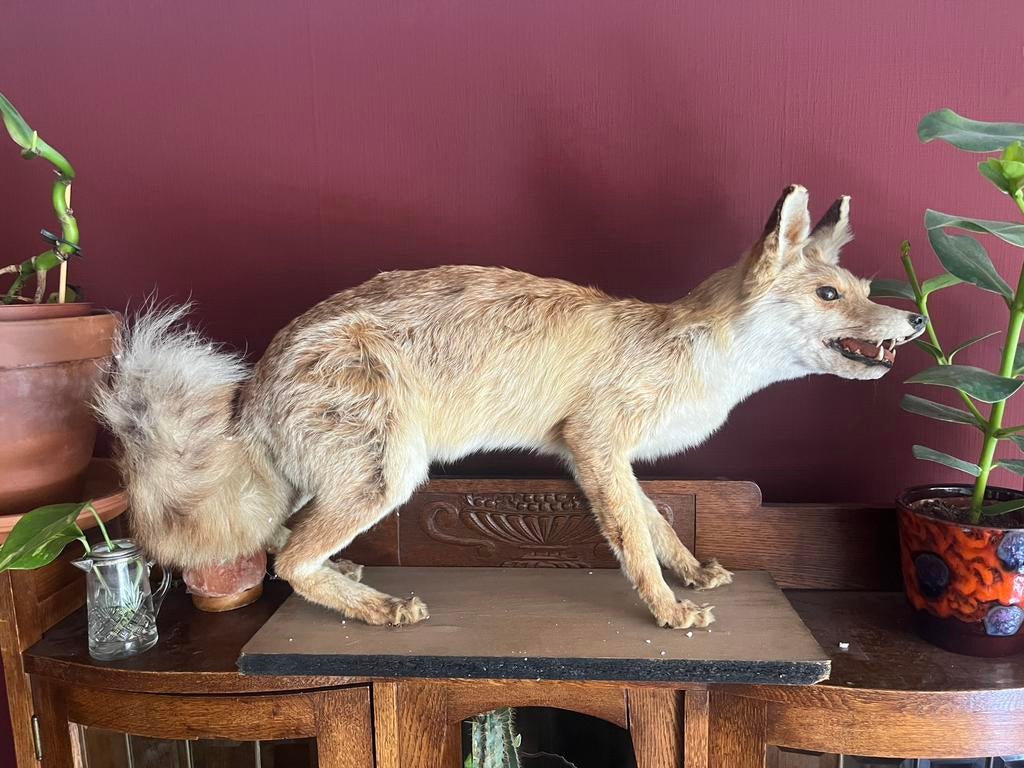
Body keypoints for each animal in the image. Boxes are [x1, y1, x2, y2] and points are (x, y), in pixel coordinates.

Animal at [96, 185, 926, 630]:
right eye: (831, 294)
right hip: (390, 474)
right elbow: (633, 539)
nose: (914, 319)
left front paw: (691, 573)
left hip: (338, 479)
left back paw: (349, 576)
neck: (686, 347)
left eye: (861, 287)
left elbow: (657, 523)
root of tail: (255, 383)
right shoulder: (595, 444)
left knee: (284, 541)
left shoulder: (603, 455)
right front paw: (667, 611)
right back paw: (380, 611)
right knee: (286, 559)